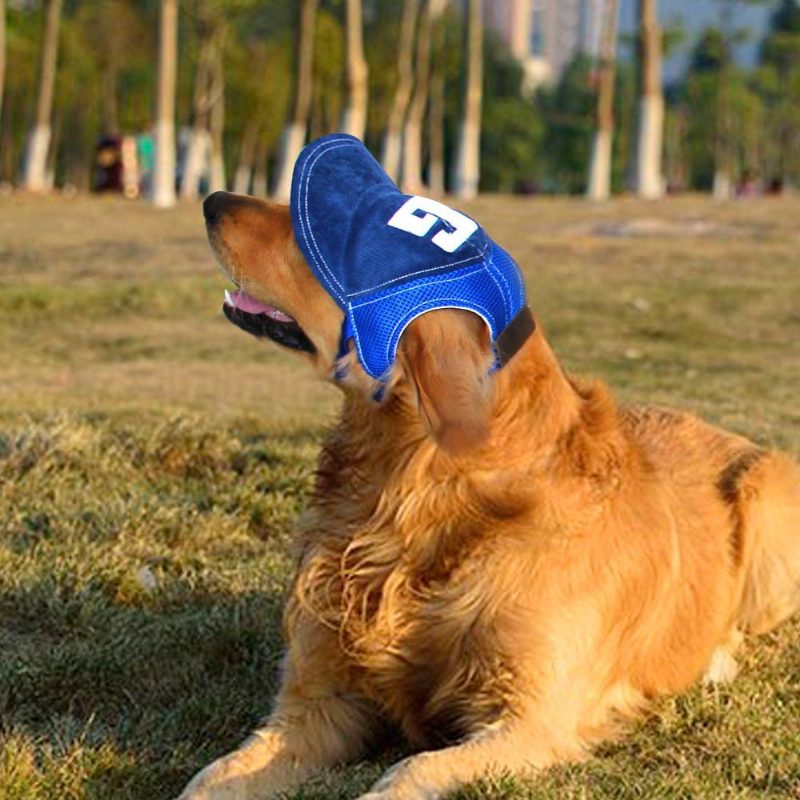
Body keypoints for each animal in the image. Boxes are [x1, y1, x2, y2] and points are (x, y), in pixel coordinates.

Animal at [178, 139, 796, 800]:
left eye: (320, 221)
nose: (212, 199)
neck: (411, 490)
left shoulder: (529, 720)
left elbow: (409, 771)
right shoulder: (319, 701)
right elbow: (213, 776)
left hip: (767, 499)